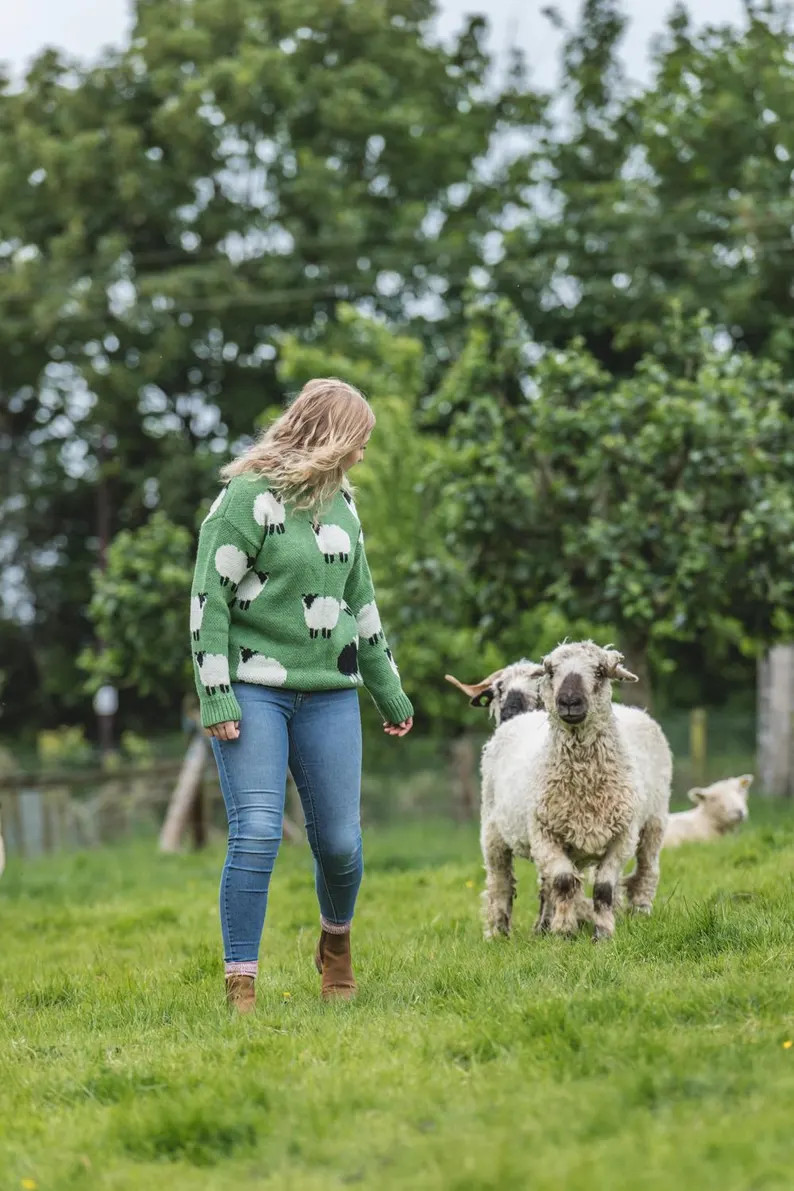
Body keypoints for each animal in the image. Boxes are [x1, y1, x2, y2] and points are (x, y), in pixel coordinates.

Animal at [480, 641, 672, 942]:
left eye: (600, 671)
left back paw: (640, 911)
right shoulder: (545, 834)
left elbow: (603, 887)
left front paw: (602, 934)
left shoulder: (622, 836)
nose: (569, 701)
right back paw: (499, 932)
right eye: (550, 671)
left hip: (654, 822)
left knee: (647, 868)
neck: (584, 781)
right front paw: (563, 931)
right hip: (492, 831)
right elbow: (562, 881)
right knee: (500, 882)